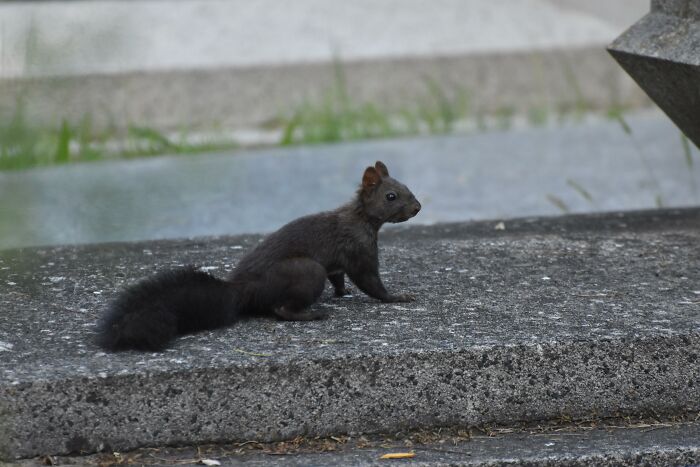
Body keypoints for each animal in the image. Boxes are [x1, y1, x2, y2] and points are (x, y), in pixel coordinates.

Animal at [97, 161, 421, 351]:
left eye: (407, 187)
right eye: (391, 197)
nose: (417, 207)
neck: (362, 217)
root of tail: (242, 291)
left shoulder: (338, 263)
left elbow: (339, 277)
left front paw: (342, 293)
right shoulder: (359, 249)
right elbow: (371, 282)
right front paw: (398, 297)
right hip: (306, 271)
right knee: (280, 309)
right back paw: (311, 314)